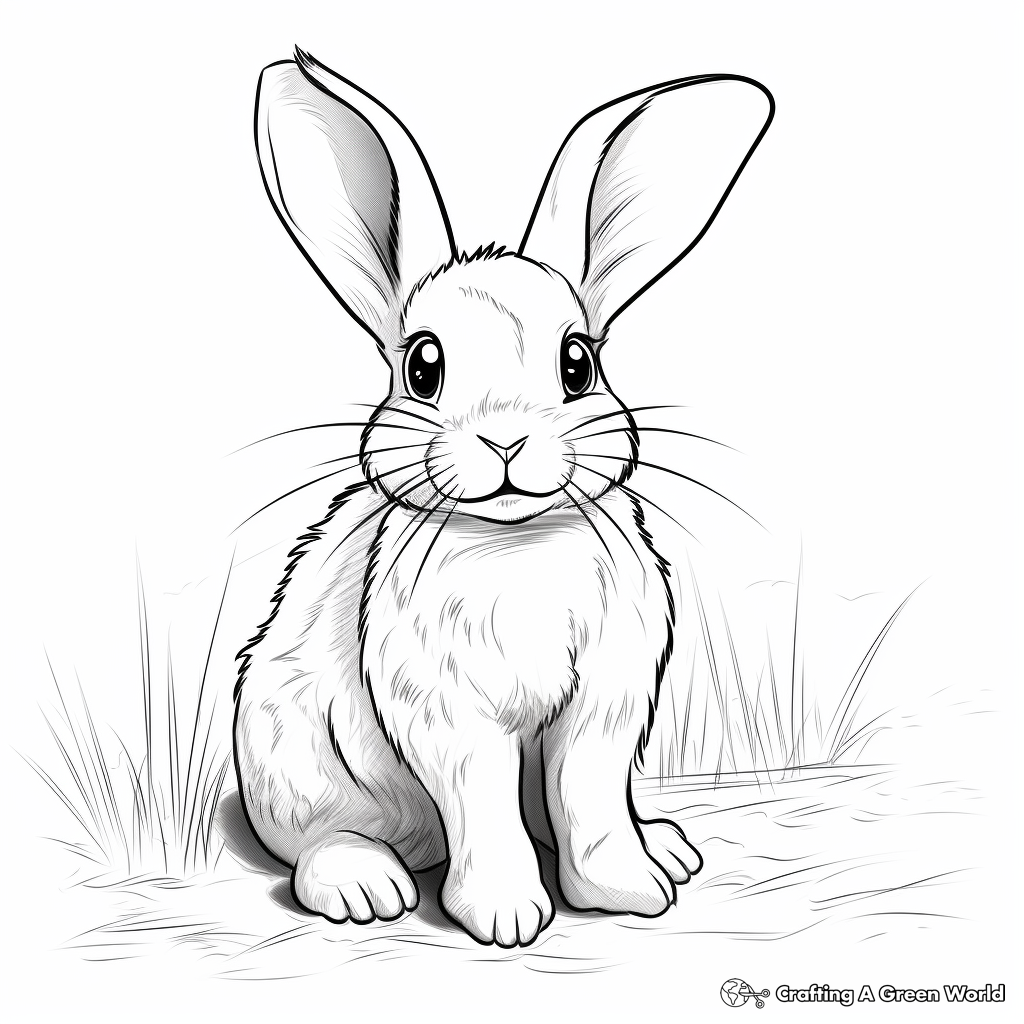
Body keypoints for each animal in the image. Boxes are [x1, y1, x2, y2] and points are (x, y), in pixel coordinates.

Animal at [234, 48, 773, 948]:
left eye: (578, 363)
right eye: (423, 365)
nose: (507, 441)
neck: (516, 542)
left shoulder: (607, 701)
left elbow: (590, 799)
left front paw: (626, 889)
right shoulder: (447, 712)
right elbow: (483, 803)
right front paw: (507, 917)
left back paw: (666, 846)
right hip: (289, 755)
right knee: (316, 841)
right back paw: (365, 887)